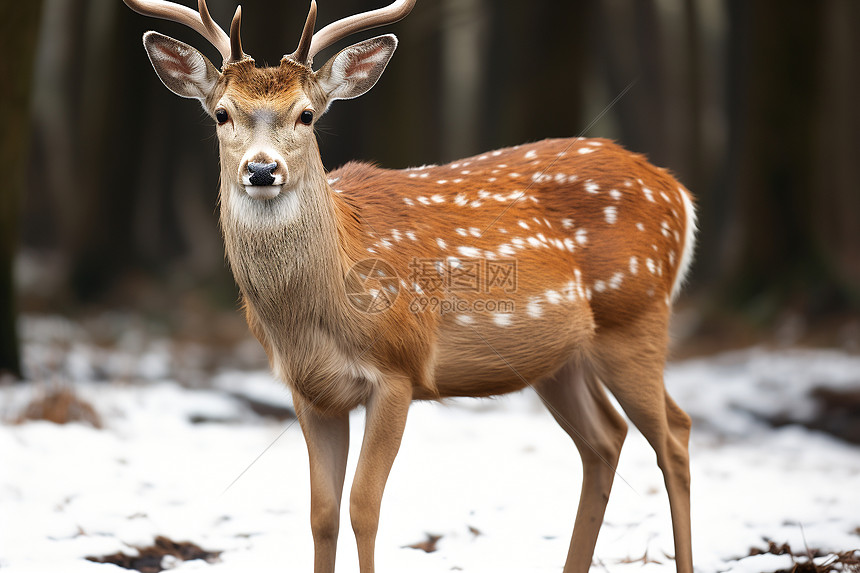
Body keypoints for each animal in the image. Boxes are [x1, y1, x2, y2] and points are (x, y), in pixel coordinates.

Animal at [122, 1, 700, 572]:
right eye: (222, 113)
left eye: (306, 114)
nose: (262, 169)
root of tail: (678, 191)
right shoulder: (310, 392)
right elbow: (322, 512)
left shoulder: (398, 368)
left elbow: (364, 505)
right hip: (559, 357)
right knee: (605, 438)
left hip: (636, 313)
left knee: (674, 433)